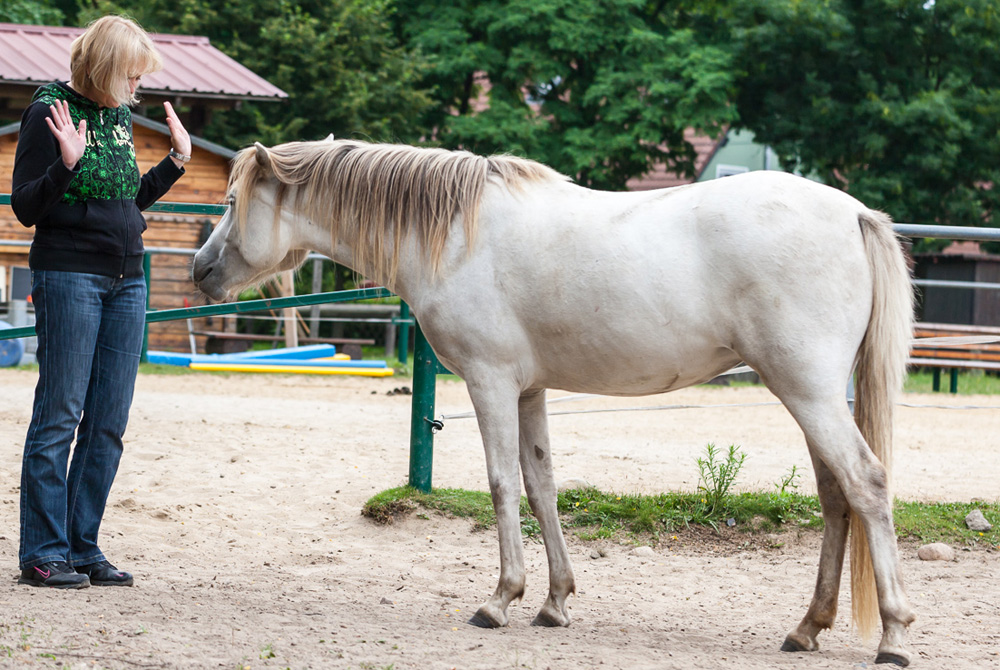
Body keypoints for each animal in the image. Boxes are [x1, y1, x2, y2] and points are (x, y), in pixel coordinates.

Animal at [192, 138, 916, 666]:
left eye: (229, 201)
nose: (200, 270)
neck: (456, 234)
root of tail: (854, 214)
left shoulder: (489, 383)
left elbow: (502, 484)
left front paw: (500, 600)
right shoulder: (530, 390)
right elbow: (542, 486)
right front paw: (555, 602)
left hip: (808, 391)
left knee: (868, 485)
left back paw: (894, 636)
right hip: (809, 395)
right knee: (835, 497)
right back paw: (807, 627)